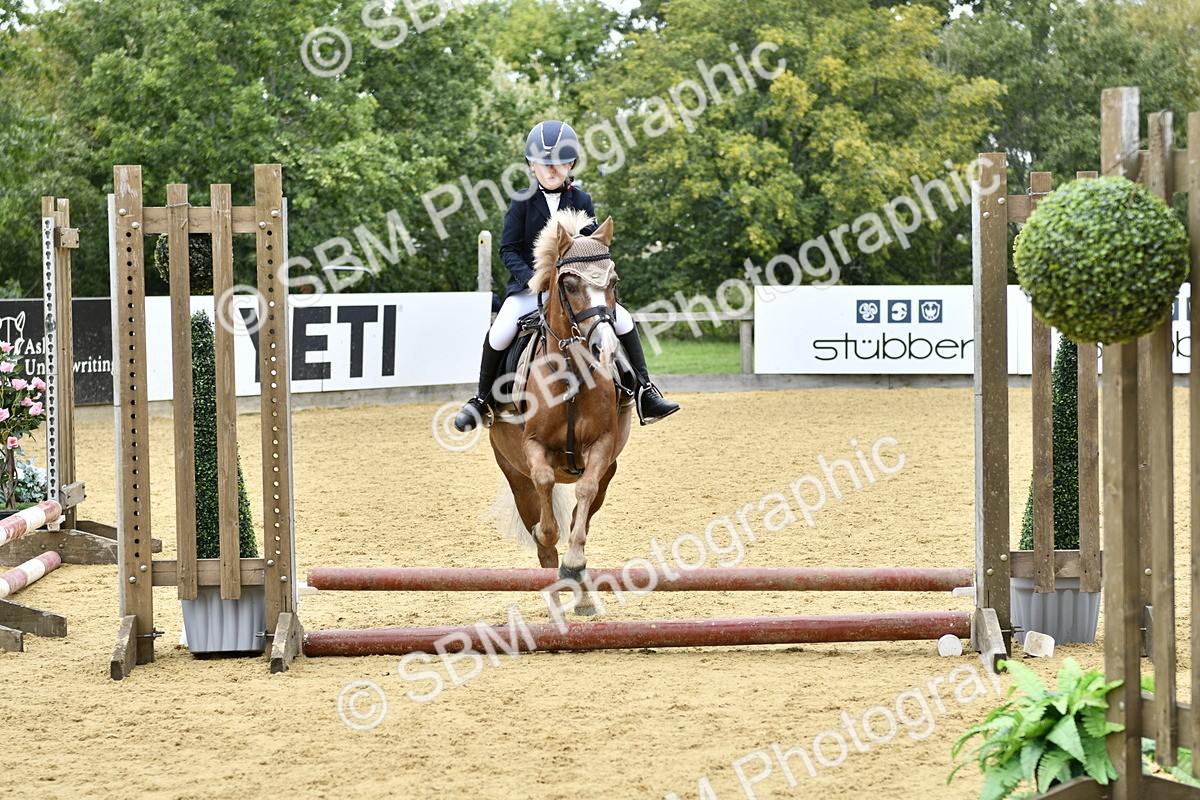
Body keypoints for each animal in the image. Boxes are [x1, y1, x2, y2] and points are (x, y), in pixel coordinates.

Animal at [487, 209, 633, 615]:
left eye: (613, 281)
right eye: (569, 284)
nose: (606, 348)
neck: (570, 371)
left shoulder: (602, 447)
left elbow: (582, 495)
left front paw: (575, 563)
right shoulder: (533, 447)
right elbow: (544, 488)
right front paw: (546, 535)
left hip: (609, 472)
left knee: (583, 515)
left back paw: (579, 591)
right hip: (513, 474)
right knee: (539, 519)